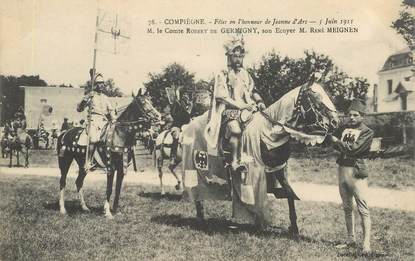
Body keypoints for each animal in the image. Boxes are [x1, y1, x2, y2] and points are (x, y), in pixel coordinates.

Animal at [57, 89, 162, 217]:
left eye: (150, 100)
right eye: (142, 102)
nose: (159, 116)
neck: (120, 134)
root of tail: (64, 133)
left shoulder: (121, 168)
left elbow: (118, 189)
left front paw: (115, 210)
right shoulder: (111, 167)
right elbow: (109, 189)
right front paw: (107, 212)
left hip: (82, 165)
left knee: (79, 182)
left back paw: (84, 207)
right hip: (65, 162)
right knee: (63, 182)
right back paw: (62, 209)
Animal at [180, 81, 340, 238]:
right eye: (316, 97)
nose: (335, 122)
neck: (269, 131)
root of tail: (189, 125)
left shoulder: (278, 168)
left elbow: (288, 193)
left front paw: (293, 228)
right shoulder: (257, 171)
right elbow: (260, 196)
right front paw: (260, 223)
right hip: (195, 168)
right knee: (197, 191)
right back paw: (201, 218)